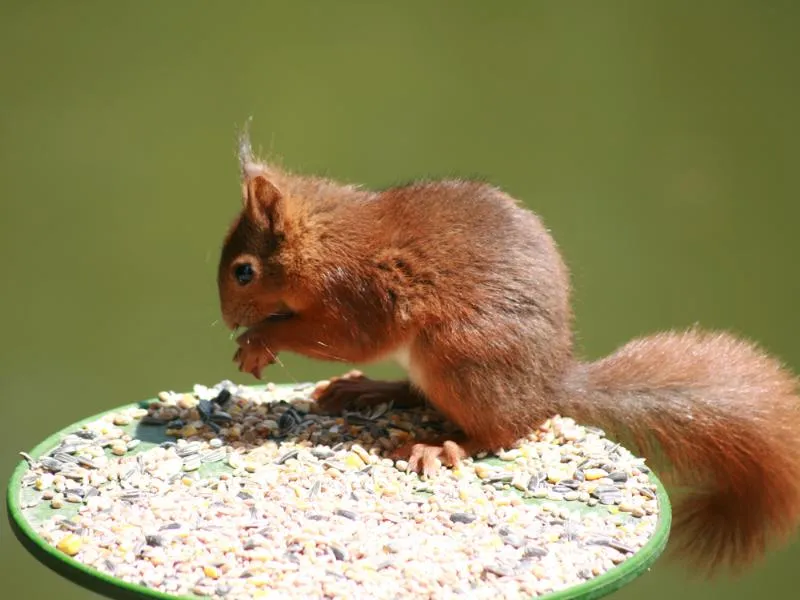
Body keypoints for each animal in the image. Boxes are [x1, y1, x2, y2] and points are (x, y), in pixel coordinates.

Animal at [216, 125, 800, 572]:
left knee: (502, 430)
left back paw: (442, 446)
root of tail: (550, 386)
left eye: (244, 271)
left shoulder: (357, 294)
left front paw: (259, 341)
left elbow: (346, 337)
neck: (324, 239)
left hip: (460, 357)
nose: (225, 320)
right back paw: (368, 391)